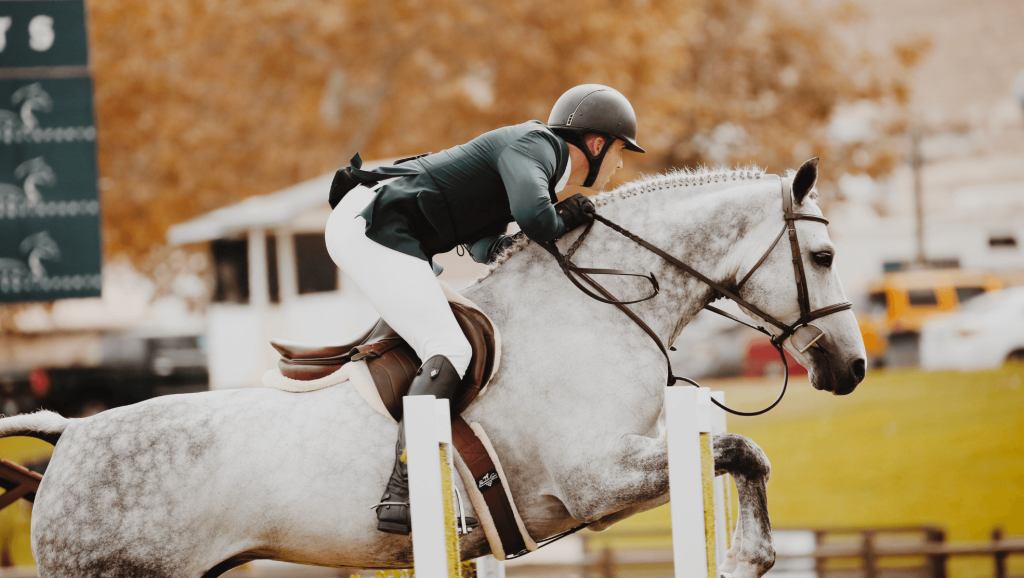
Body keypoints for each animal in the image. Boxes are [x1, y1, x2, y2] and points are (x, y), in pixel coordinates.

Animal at [0, 158, 864, 578]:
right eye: (823, 256)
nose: (851, 368)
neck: (594, 310)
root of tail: (68, 434)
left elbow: (744, 454)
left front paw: (751, 554)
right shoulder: (596, 481)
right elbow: (742, 449)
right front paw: (750, 557)